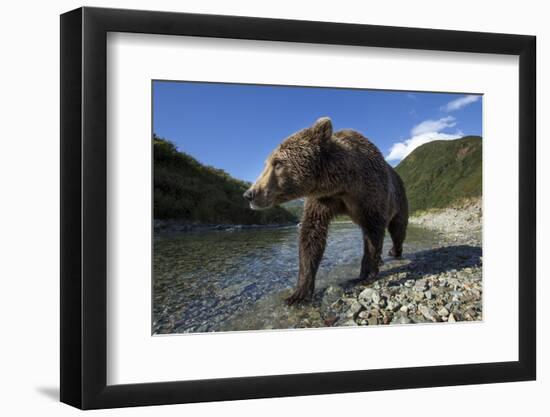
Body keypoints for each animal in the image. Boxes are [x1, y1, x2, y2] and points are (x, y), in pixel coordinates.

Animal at [244, 115, 408, 304]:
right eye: (267, 163)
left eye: (277, 163)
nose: (250, 194)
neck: (343, 183)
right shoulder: (323, 200)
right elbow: (311, 235)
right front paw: (299, 293)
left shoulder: (370, 194)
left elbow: (373, 233)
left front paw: (368, 273)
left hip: (398, 200)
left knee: (397, 229)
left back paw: (394, 251)